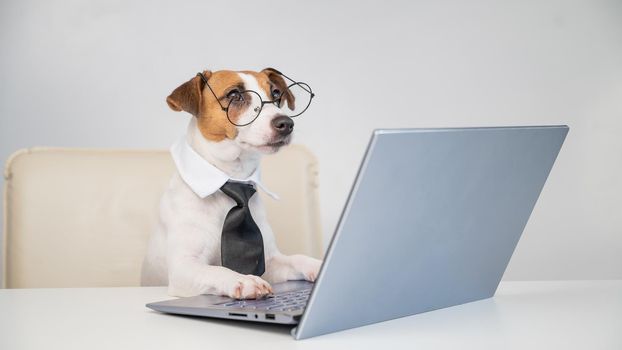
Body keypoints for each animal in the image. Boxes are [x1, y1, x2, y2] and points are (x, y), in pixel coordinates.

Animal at [140, 68, 322, 298]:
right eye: (235, 95)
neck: (234, 175)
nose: (286, 124)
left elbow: (297, 258)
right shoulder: (184, 267)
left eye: (276, 94)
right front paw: (243, 279)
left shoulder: (270, 261)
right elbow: (216, 270)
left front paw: (319, 264)